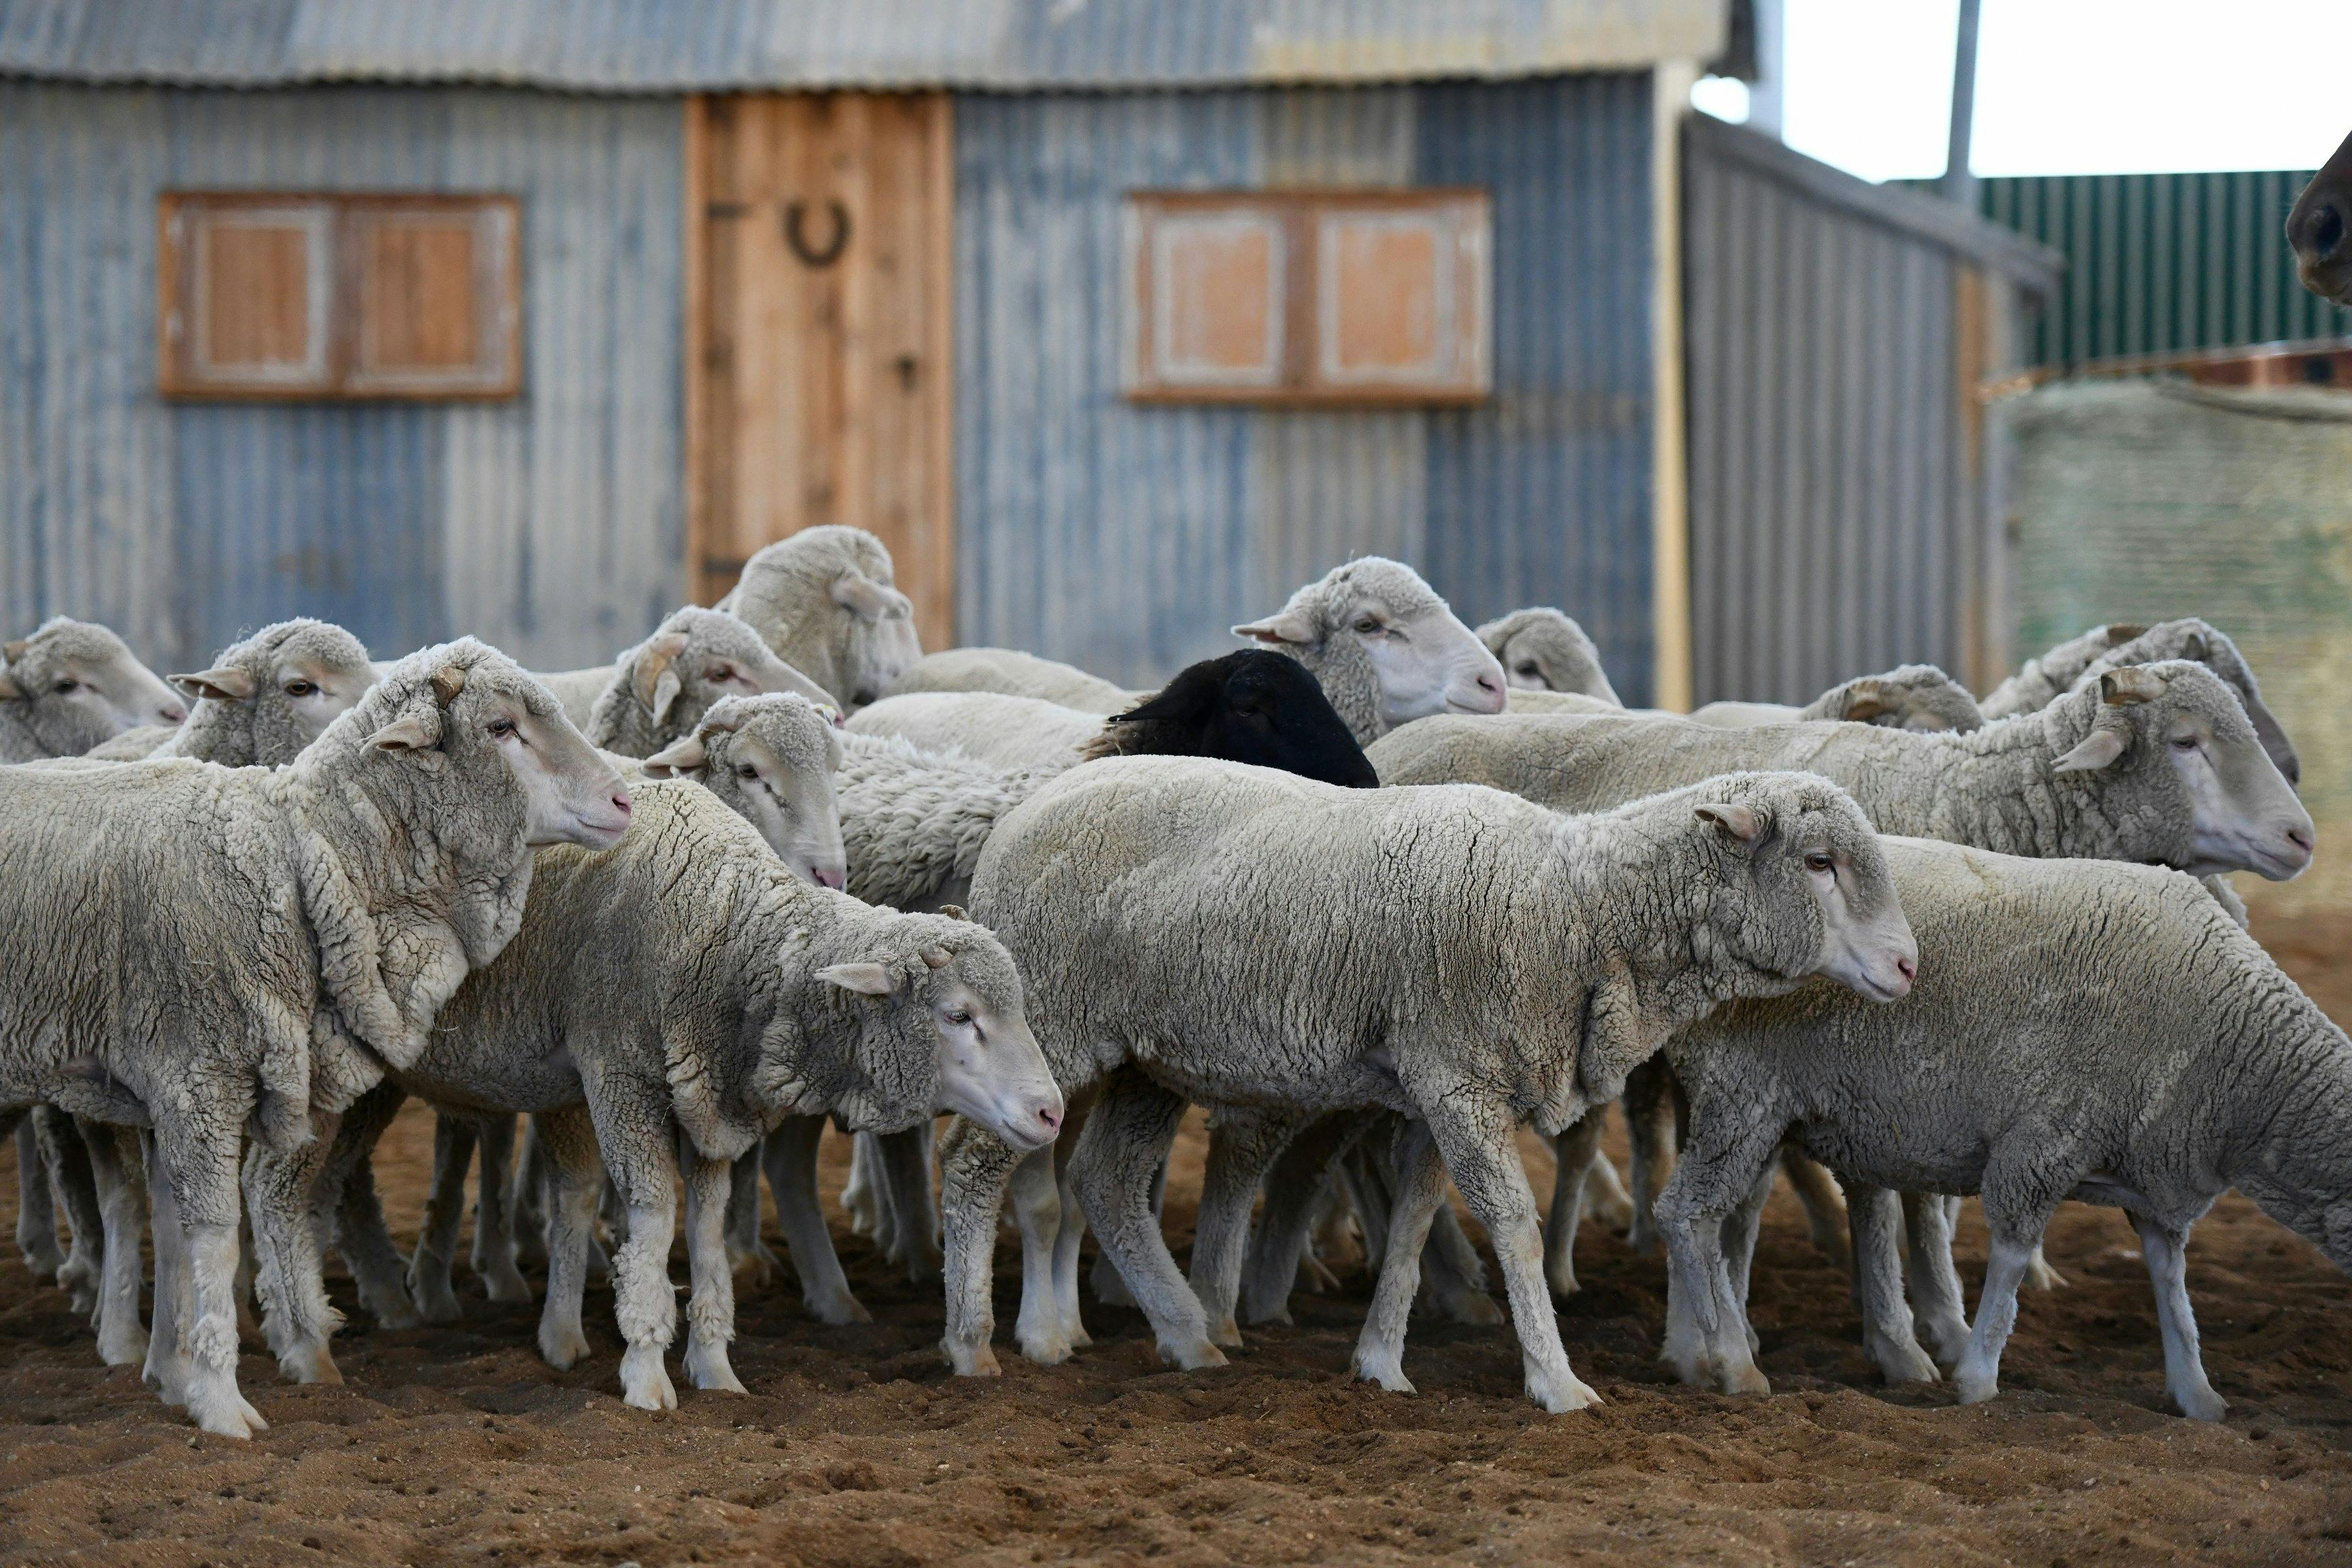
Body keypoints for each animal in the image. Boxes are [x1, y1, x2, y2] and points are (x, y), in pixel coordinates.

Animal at [0, 642, 632, 1435]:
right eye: (499, 727)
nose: (625, 802)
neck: (294, 858)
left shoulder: (173, 1095)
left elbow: (174, 1236)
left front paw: (174, 1378)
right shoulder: (196, 1077)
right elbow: (213, 1238)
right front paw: (221, 1403)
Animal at [264, 779, 1062, 1408]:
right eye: (957, 1015)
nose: (1050, 1111)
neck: (726, 930)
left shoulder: (709, 1097)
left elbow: (706, 1233)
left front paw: (715, 1369)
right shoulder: (620, 1075)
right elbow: (652, 1218)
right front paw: (647, 1374)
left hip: (370, 1087)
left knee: (322, 1190)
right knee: (275, 1191)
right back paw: (302, 1351)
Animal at [947, 759, 1916, 1409]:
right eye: (1819, 861)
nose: (1910, 965)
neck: (1575, 909)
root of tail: (1021, 814)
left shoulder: (1440, 1090)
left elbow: (1415, 1220)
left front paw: (1379, 1360)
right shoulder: (1458, 1078)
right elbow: (1512, 1226)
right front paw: (1555, 1380)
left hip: (1149, 1057)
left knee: (1107, 1179)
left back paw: (1189, 1335)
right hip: (1048, 1027)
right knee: (972, 1168)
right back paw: (979, 1345)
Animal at [1655, 835, 2352, 1422]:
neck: (2240, 1063)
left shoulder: (2156, 1178)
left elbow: (2172, 1286)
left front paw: (2197, 1392)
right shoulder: (2041, 1140)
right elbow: (2014, 1260)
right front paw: (1977, 1376)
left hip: (1751, 1104)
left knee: (1719, 1215)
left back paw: (1696, 1351)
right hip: (1742, 1091)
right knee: (1687, 1213)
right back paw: (1733, 1364)